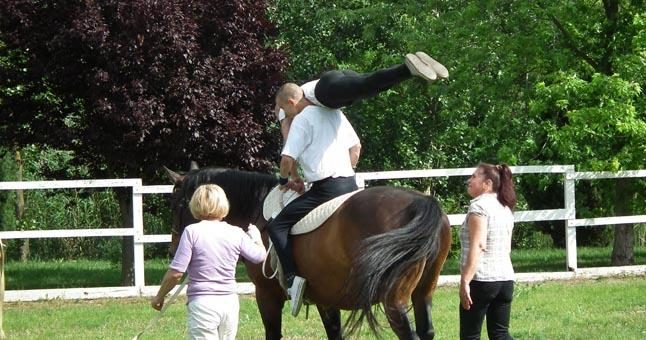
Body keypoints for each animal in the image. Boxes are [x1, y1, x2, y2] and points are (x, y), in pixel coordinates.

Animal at [165, 164, 454, 338]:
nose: (173, 248)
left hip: (394, 300)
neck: (256, 208)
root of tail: (421, 202)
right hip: (423, 293)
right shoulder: (326, 299)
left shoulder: (267, 295)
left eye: (178, 203)